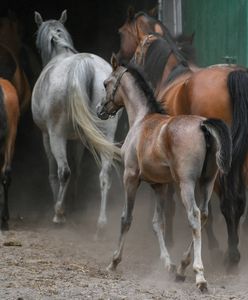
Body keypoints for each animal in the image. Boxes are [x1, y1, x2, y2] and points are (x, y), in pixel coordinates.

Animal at [32, 10, 121, 229]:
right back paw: (101, 223)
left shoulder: (46, 135)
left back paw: (59, 213)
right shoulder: (80, 138)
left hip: (56, 135)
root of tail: (84, 64)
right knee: (104, 173)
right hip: (105, 134)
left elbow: (54, 172)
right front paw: (74, 202)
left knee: (64, 170)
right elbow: (79, 167)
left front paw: (60, 204)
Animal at [97, 54, 232, 290]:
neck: (142, 120)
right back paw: (181, 267)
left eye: (106, 83)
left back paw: (199, 275)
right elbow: (157, 223)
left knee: (194, 215)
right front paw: (168, 264)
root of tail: (203, 126)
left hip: (187, 184)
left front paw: (114, 262)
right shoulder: (159, 185)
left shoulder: (130, 177)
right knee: (204, 214)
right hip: (206, 182)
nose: (100, 110)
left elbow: (126, 218)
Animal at [116, 9, 248, 268]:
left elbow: (175, 204)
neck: (171, 76)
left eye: (122, 33)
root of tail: (234, 74)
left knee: (227, 201)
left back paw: (230, 254)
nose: (121, 59)